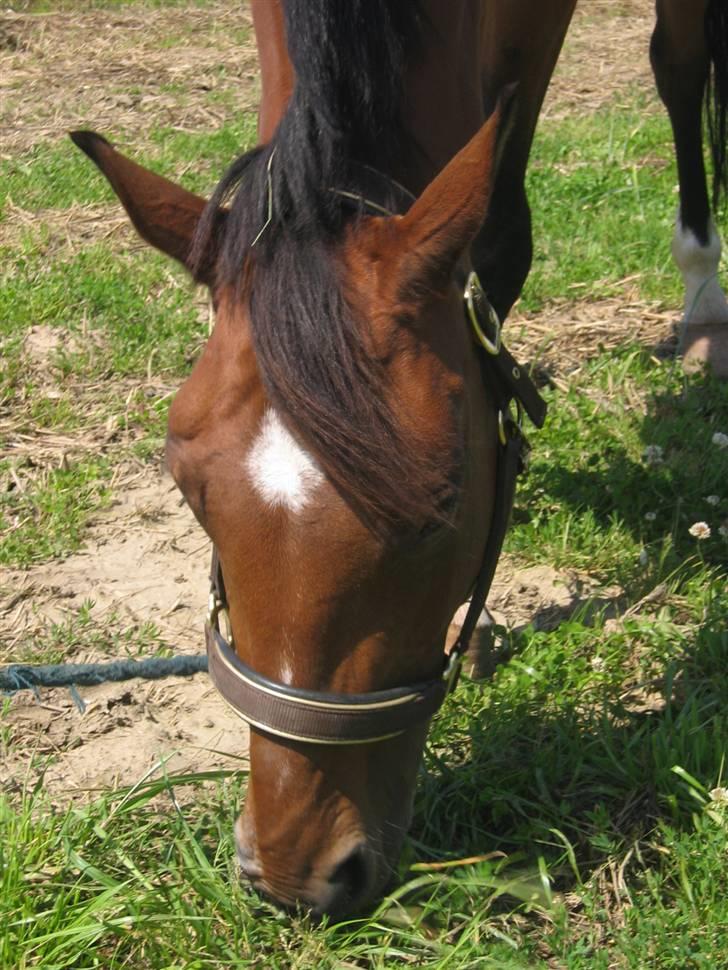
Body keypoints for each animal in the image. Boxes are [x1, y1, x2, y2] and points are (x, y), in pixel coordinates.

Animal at [72, 0, 728, 916]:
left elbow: (500, 241)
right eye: (188, 486)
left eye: (445, 505)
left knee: (679, 59)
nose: (294, 875)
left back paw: (704, 298)